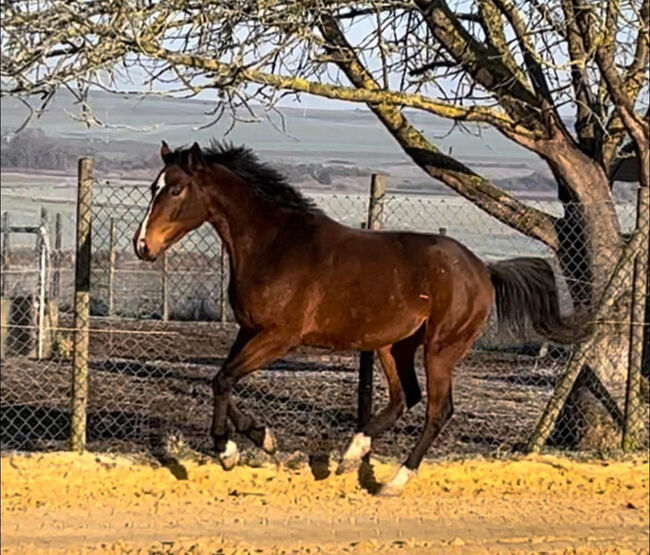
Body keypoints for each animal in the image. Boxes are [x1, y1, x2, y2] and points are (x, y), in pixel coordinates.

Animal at [130, 141, 572, 498]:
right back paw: (348, 456)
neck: (273, 245)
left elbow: (223, 380)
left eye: (175, 189)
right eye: (153, 187)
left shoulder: (279, 336)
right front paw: (263, 438)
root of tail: (483, 269)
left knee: (437, 410)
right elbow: (221, 379)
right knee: (404, 397)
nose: (142, 246)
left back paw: (393, 482)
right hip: (394, 345)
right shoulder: (249, 330)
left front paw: (227, 452)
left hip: (440, 348)